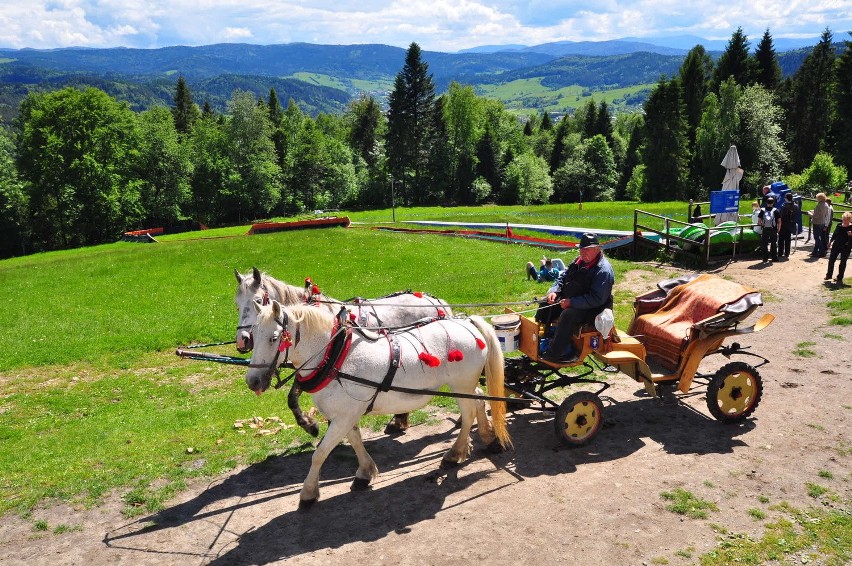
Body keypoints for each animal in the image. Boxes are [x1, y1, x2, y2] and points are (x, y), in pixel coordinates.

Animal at [235, 268, 452, 438]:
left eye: (257, 299)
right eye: (237, 305)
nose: (242, 340)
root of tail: (436, 301)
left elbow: (293, 396)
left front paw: (311, 425)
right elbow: (293, 398)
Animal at [246, 302, 512, 510]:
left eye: (273, 338)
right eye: (253, 336)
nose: (252, 381)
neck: (334, 357)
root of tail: (466, 322)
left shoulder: (343, 417)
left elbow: (320, 453)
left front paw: (309, 492)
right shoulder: (346, 414)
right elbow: (355, 441)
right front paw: (365, 472)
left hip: (461, 384)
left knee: (468, 414)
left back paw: (455, 453)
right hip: (465, 385)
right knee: (479, 400)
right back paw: (487, 438)